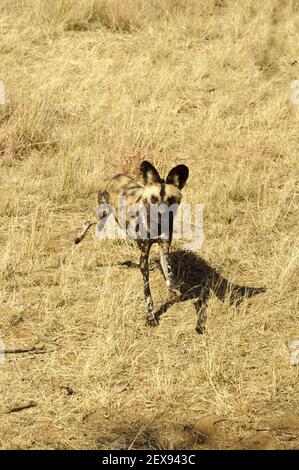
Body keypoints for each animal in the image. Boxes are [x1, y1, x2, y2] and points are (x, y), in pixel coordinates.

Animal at [74, 162, 189, 326]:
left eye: (171, 199)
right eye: (153, 199)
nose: (161, 215)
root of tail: (117, 176)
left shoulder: (163, 250)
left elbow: (169, 276)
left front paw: (172, 292)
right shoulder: (144, 257)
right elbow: (147, 293)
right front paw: (151, 316)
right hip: (102, 213)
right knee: (89, 220)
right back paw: (78, 238)